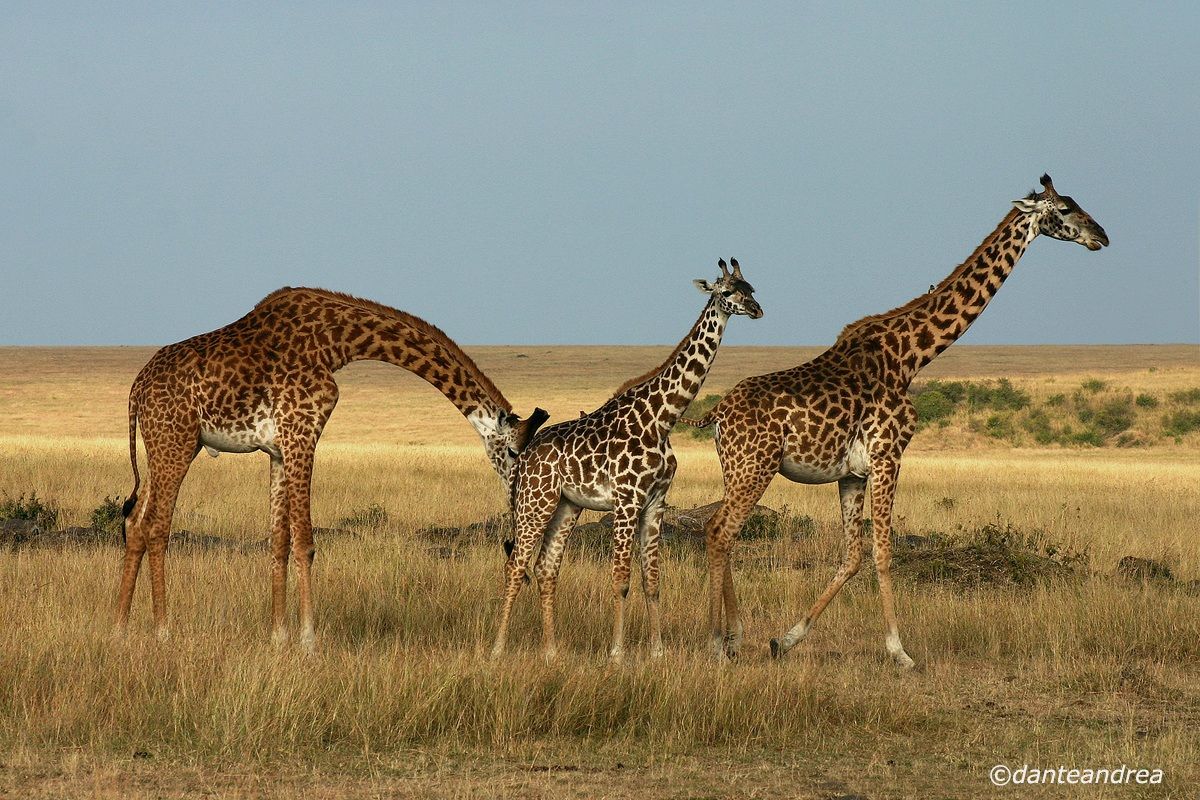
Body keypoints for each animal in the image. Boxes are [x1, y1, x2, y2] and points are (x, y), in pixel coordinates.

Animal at [115, 287, 548, 647]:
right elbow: (306, 542)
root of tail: (137, 388)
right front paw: (309, 639)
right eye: (513, 453)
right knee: (157, 526)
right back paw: (162, 631)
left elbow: (279, 541)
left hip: (166, 446)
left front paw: (278, 636)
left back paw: (120, 627)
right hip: (175, 441)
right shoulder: (303, 433)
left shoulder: (278, 448)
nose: (518, 489)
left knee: (134, 522)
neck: (334, 343)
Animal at [490, 259, 764, 662]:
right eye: (727, 292)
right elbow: (621, 579)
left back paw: (552, 651)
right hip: (534, 503)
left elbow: (652, 581)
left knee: (545, 568)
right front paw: (617, 653)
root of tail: (523, 459)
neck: (661, 419)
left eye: (752, 289)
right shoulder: (627, 500)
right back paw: (497, 649)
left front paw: (657, 652)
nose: (758, 310)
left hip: (566, 505)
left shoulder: (655, 502)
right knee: (515, 566)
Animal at [685, 175, 1108, 667]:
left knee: (722, 532)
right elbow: (884, 553)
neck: (911, 356)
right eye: (1064, 209)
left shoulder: (852, 473)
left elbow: (852, 556)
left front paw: (785, 639)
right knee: (720, 531)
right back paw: (716, 642)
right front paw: (899, 651)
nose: (1102, 235)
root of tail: (717, 412)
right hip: (756, 466)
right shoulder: (889, 456)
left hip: (736, 468)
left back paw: (733, 637)